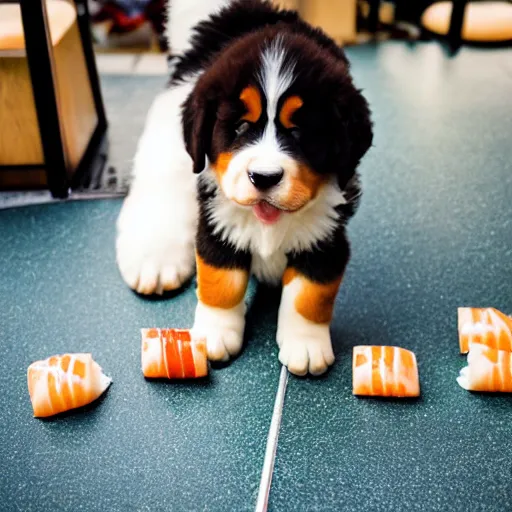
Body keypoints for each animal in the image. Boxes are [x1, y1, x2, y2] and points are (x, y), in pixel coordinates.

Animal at [116, 0, 372, 376]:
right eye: (239, 127)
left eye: (299, 133)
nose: (264, 177)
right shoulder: (220, 225)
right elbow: (222, 283)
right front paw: (216, 334)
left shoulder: (326, 238)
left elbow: (310, 295)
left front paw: (306, 344)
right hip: (170, 147)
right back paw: (155, 261)